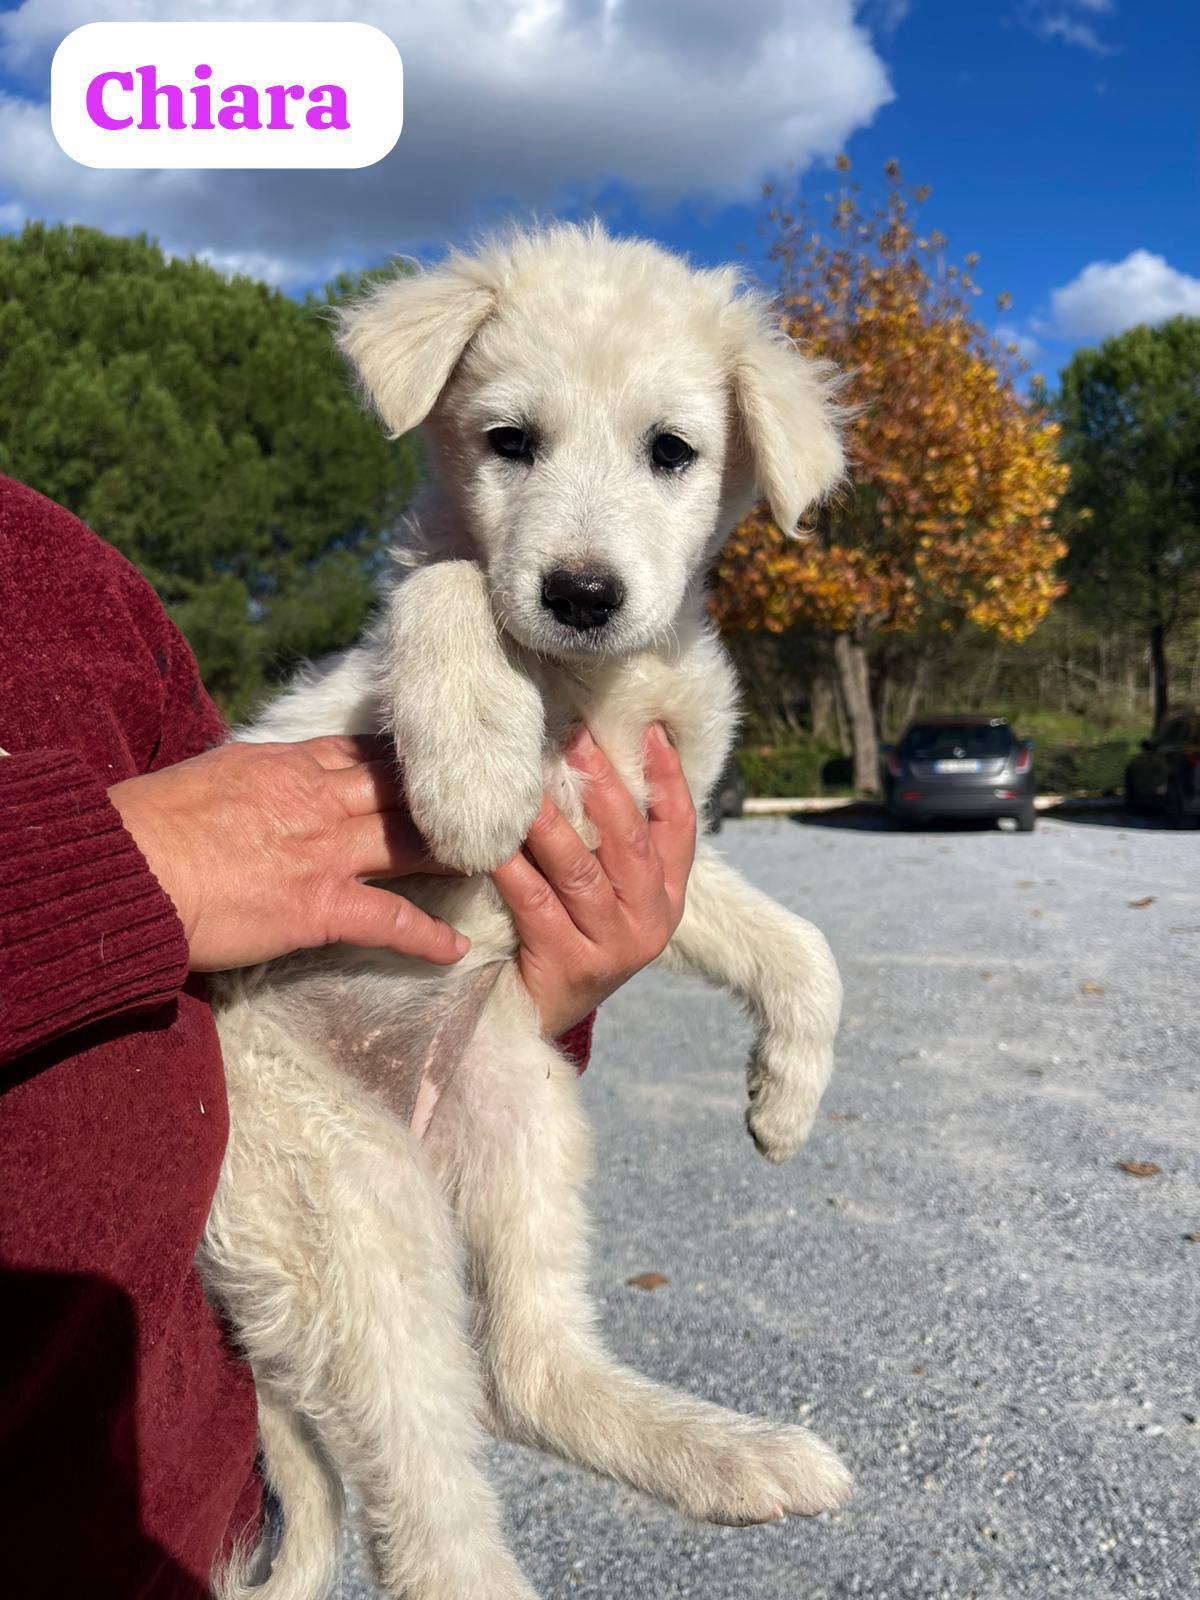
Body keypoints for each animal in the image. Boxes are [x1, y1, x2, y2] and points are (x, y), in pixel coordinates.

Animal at [203, 223, 850, 1600]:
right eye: (511, 441)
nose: (584, 592)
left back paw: (738, 1457)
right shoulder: (334, 713)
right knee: (432, 1513)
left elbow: (801, 944)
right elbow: (446, 589)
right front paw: (472, 770)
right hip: (347, 1205)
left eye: (672, 450)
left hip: (525, 1114)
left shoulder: (657, 833)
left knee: (526, 1372)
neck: (583, 686)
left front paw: (786, 1097)